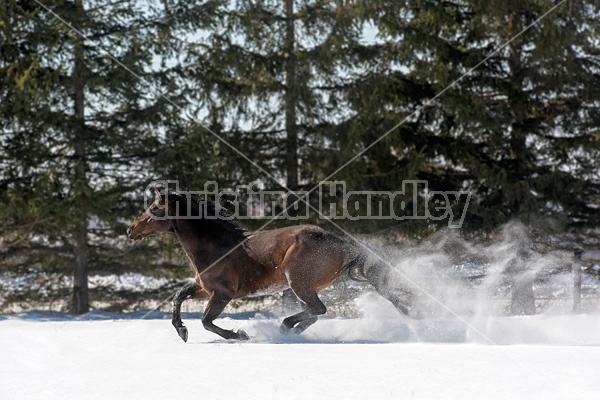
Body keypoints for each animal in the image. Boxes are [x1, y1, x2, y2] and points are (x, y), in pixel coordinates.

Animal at [124, 190, 410, 340]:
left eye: (153, 208)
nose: (130, 230)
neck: (216, 247)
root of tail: (340, 242)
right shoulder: (205, 289)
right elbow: (179, 296)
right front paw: (181, 330)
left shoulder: (222, 294)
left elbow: (206, 321)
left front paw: (238, 335)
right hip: (307, 285)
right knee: (315, 312)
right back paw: (291, 331)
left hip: (298, 282)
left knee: (318, 309)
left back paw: (285, 328)